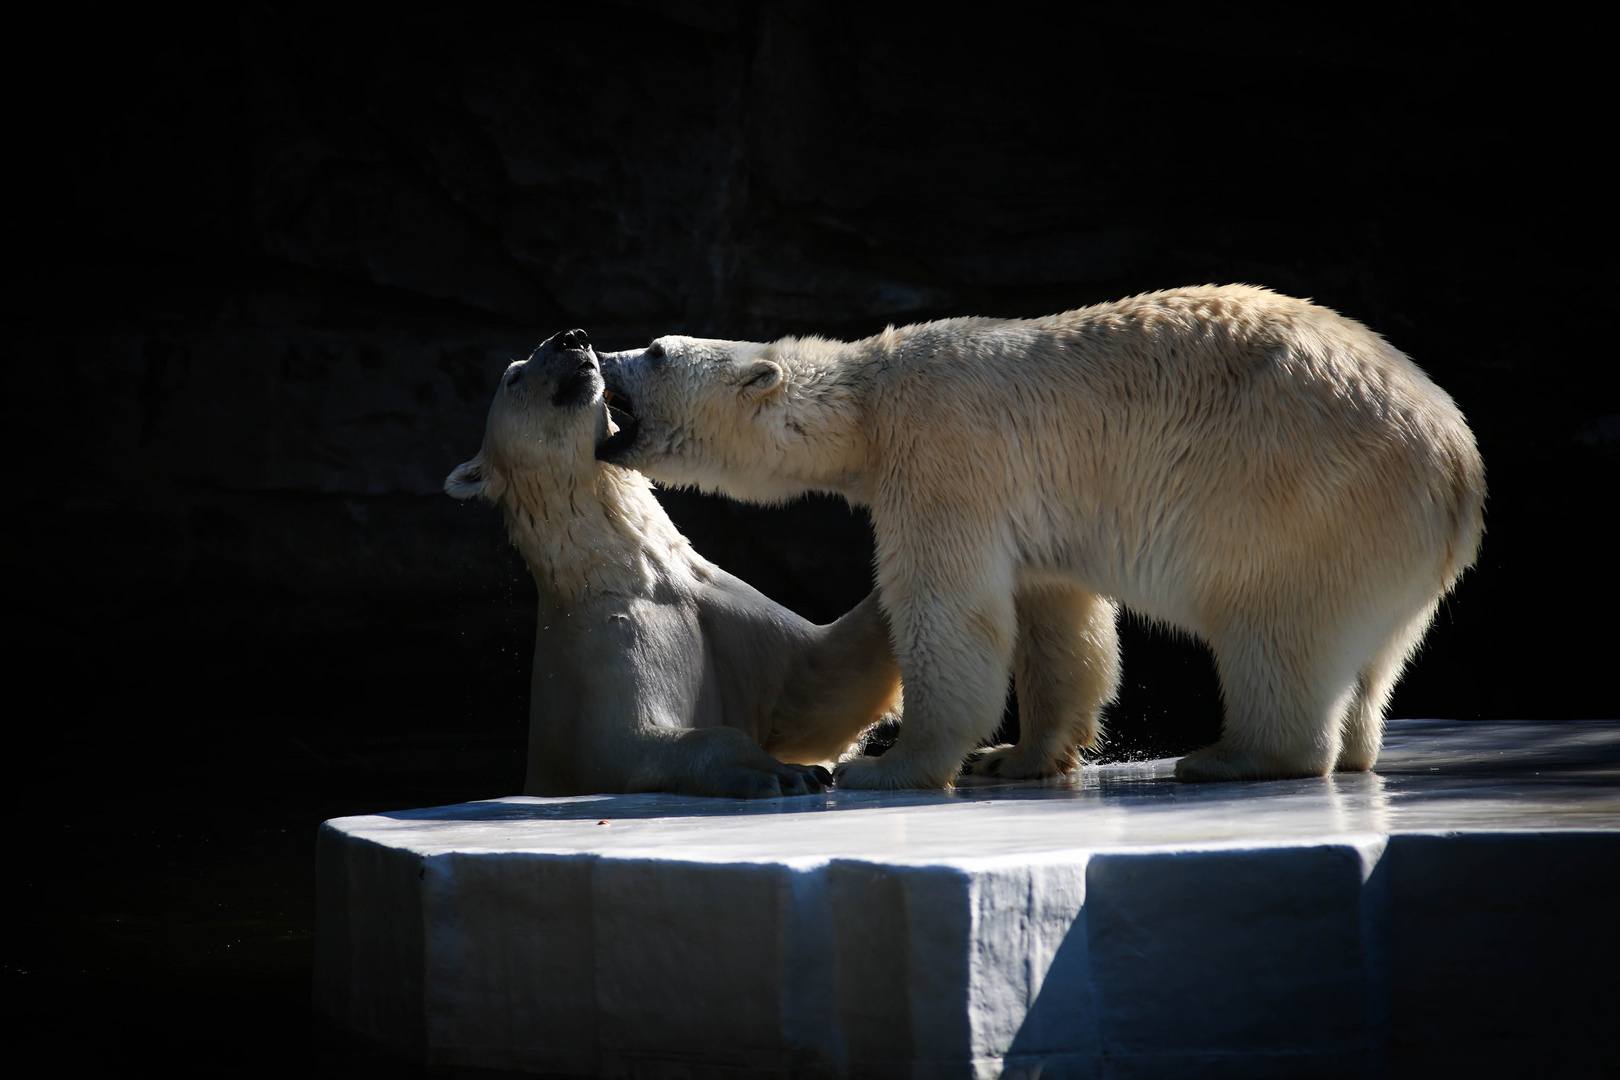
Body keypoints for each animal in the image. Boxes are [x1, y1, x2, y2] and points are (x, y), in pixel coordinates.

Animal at [447, 331, 900, 803]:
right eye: (514, 378)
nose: (570, 338)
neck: (633, 578)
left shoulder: (728, 612)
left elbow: (821, 680)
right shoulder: (598, 660)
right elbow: (634, 742)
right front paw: (785, 773)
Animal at [596, 284, 1483, 786]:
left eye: (655, 348)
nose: (592, 347)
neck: (870, 400)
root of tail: (1458, 471)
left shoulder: (945, 452)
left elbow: (948, 611)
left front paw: (894, 765)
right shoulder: (1030, 508)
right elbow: (1057, 620)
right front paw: (1016, 757)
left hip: (1307, 500)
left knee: (1276, 628)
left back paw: (1229, 756)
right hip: (1387, 550)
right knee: (1370, 657)